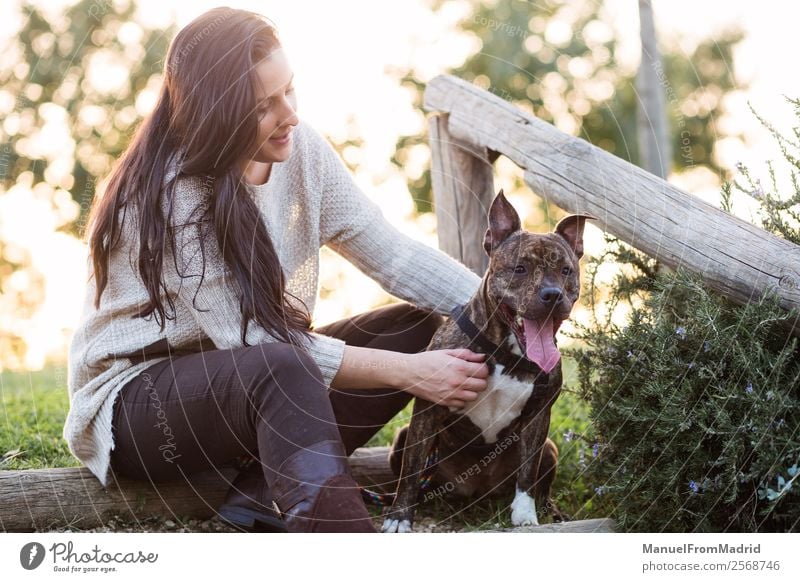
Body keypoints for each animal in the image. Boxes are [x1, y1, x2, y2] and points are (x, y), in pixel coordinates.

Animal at [382, 190, 592, 532]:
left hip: (550, 448)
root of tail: (479, 490)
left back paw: (552, 512)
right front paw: (399, 517)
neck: (506, 352)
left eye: (566, 271)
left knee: (541, 483)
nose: (552, 295)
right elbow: (411, 471)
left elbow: (527, 474)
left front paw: (525, 516)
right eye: (520, 269)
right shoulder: (428, 409)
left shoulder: (539, 416)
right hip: (403, 439)